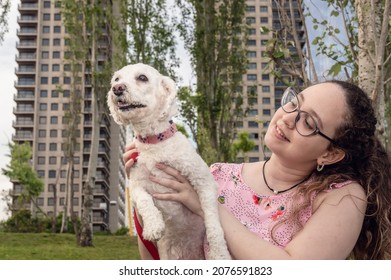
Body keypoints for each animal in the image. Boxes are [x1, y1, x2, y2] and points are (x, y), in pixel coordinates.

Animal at [107, 63, 231, 260]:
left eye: (142, 78)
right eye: (116, 79)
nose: (116, 89)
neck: (154, 143)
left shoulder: (204, 181)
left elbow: (213, 221)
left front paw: (219, 251)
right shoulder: (136, 184)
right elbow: (144, 201)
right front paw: (153, 226)